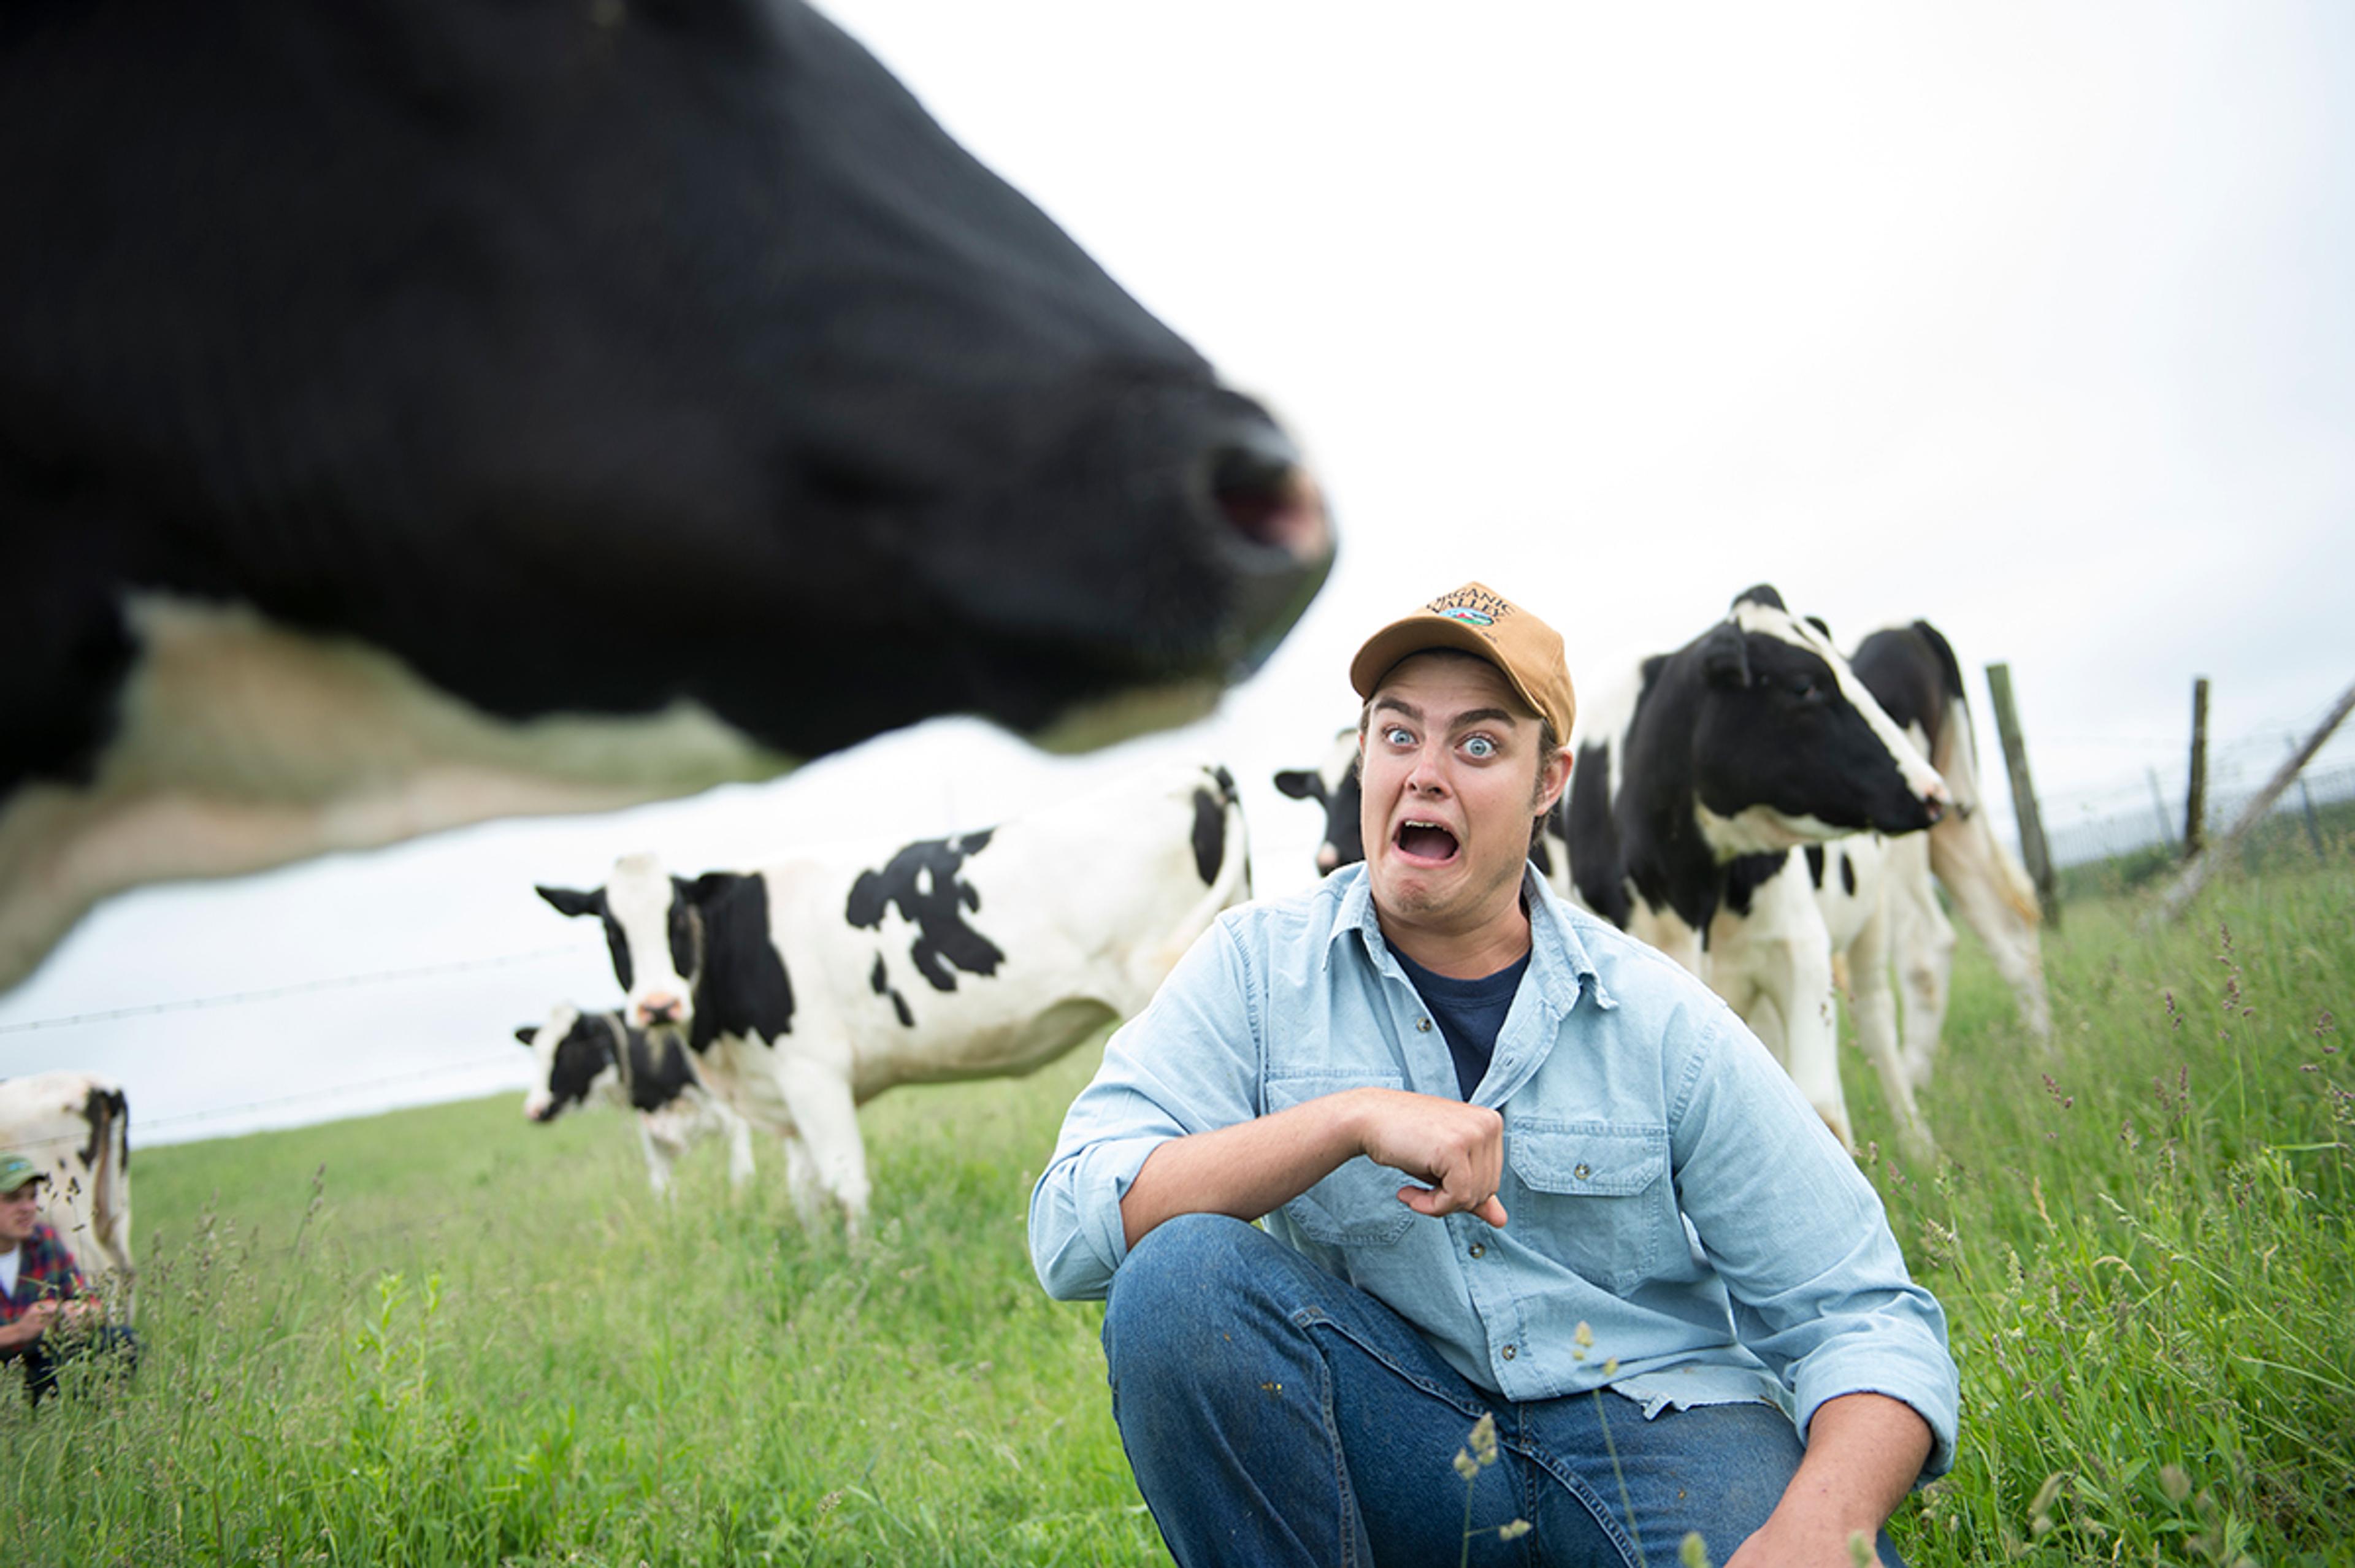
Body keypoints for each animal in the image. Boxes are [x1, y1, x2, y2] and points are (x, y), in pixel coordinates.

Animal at [515, 1004, 756, 1199]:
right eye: (537, 1053)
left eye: (567, 1051)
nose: (534, 1109)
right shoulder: (653, 1136)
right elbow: (663, 1193)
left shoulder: (735, 1122)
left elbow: (741, 1179)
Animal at [1563, 587, 1950, 1155]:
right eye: (1805, 685)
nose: (1934, 792)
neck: (1683, 890)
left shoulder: (1798, 944)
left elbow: (1820, 1109)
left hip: (1874, 915)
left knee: (1878, 1015)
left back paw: (1918, 1143)